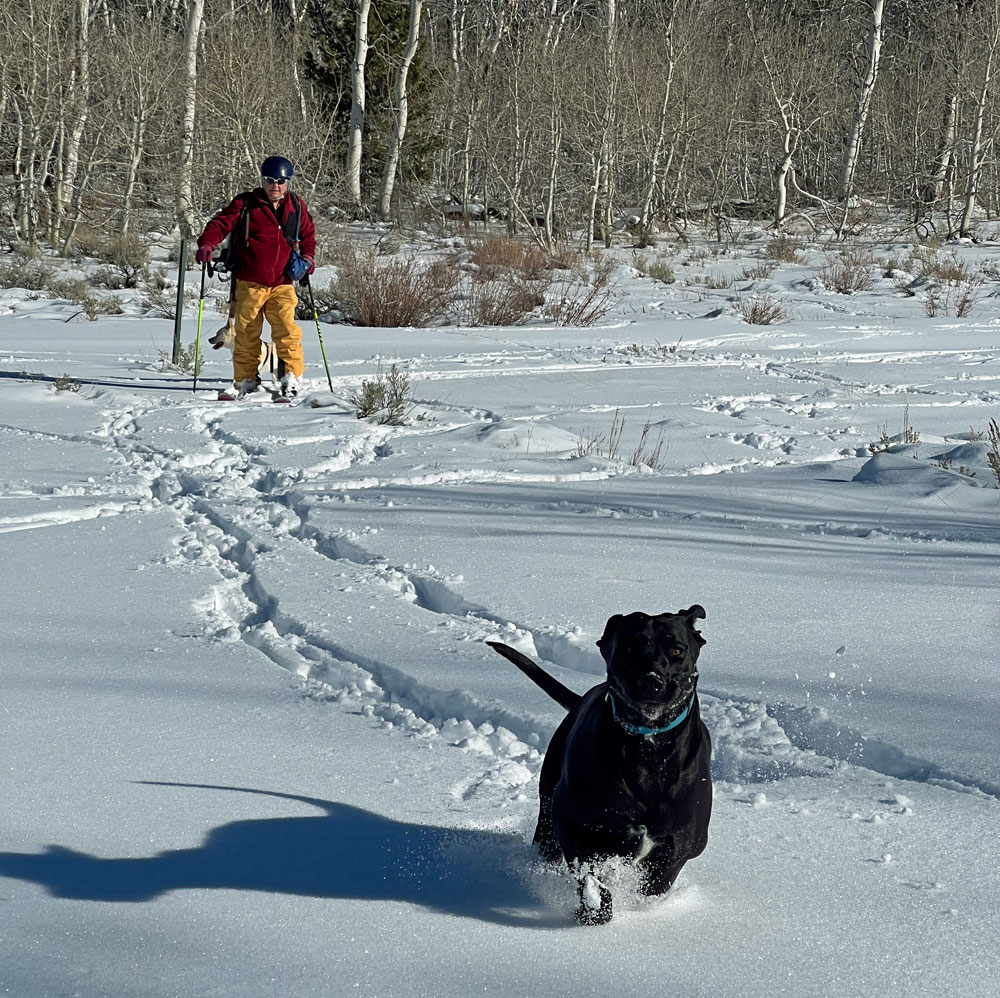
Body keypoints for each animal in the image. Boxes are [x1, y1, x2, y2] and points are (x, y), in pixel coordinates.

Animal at [486, 608, 712, 928]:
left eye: (677, 650)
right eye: (629, 649)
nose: (652, 681)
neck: (648, 749)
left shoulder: (683, 843)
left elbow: (656, 884)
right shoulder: (573, 821)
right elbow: (589, 875)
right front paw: (593, 909)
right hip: (547, 817)